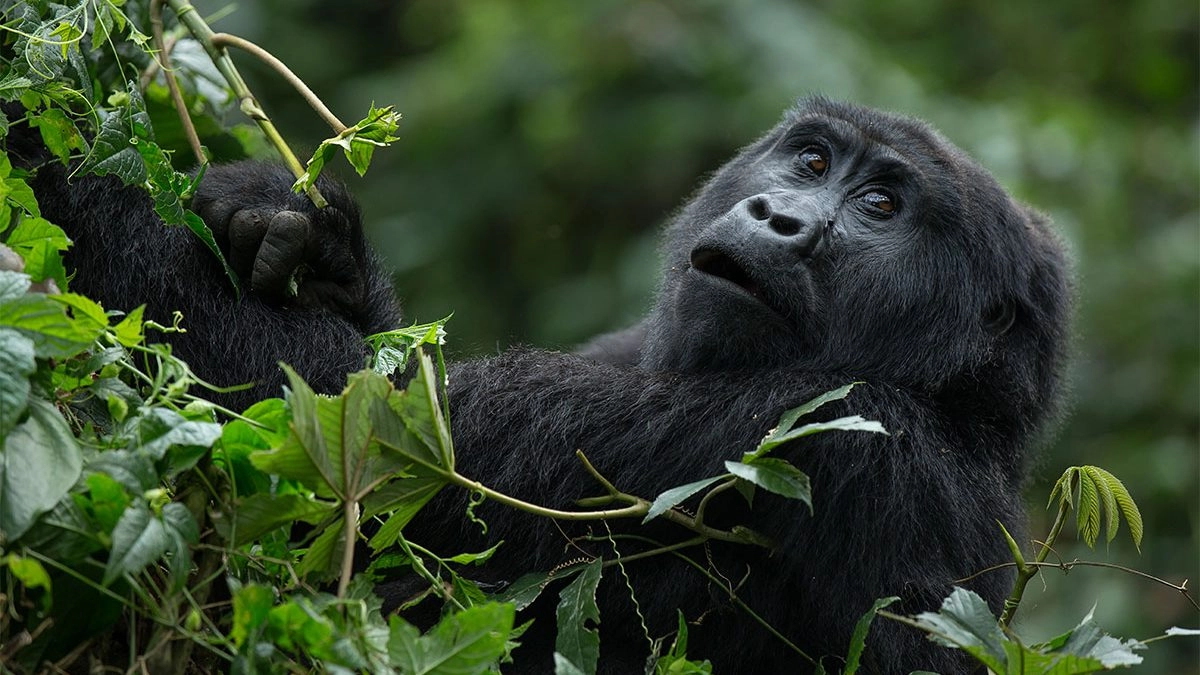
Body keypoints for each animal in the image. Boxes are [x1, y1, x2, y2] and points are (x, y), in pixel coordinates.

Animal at [21, 97, 1070, 667]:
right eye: (812, 159)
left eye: (883, 206)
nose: (781, 217)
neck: (966, 401)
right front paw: (312, 250)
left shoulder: (844, 433)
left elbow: (369, 443)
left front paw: (35, 144)